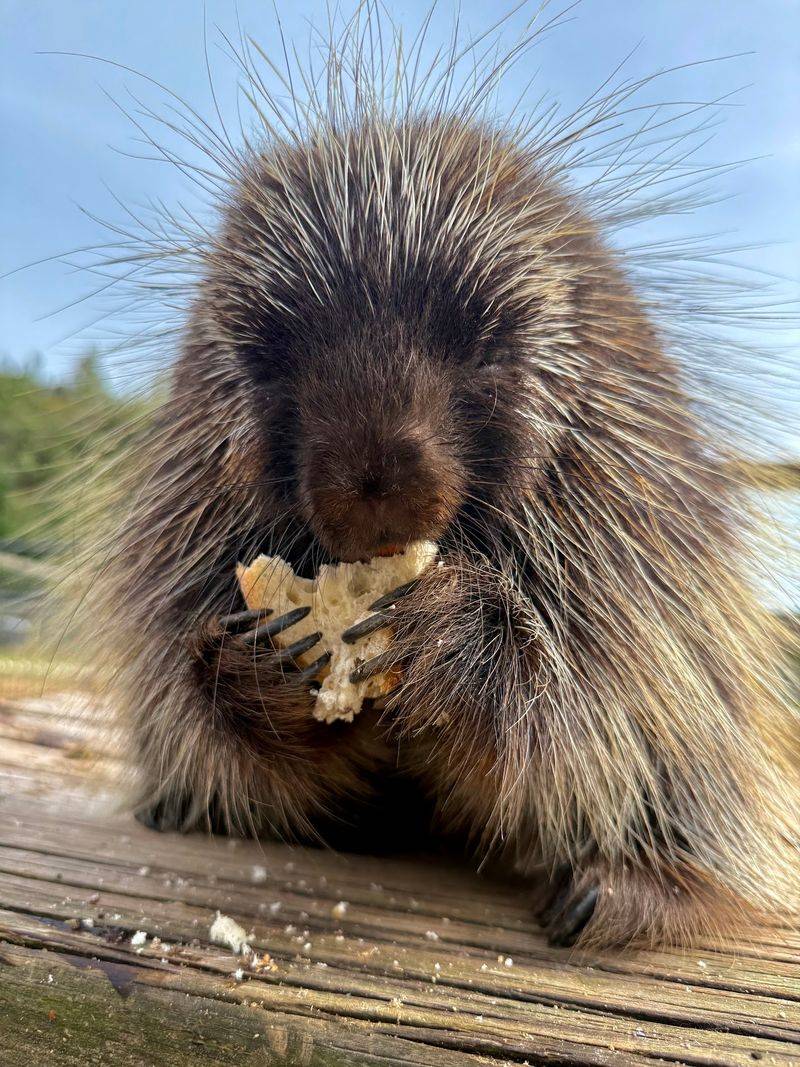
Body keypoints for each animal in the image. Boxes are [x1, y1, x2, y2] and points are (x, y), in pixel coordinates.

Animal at [87, 17, 800, 949]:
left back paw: (627, 889)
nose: (373, 490)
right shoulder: (198, 496)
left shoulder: (613, 494)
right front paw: (263, 661)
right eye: (273, 358)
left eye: (483, 346)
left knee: (684, 749)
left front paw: (451, 636)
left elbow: (588, 698)